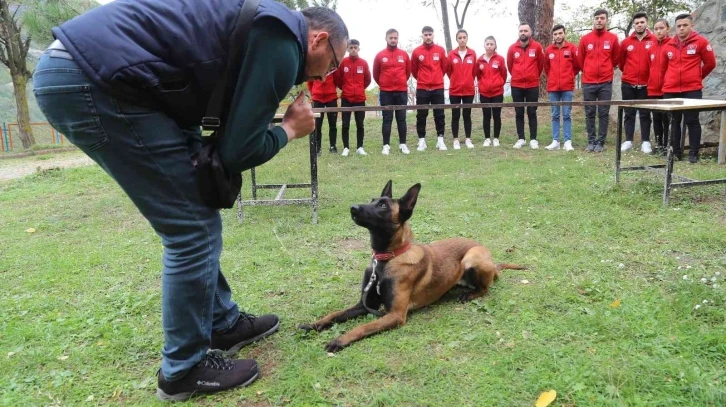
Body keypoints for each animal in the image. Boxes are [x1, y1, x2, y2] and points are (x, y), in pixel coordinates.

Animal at [298, 180, 528, 352]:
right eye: (372, 200)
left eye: (382, 206)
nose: (353, 207)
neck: (387, 259)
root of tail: (491, 260)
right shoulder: (364, 305)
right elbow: (335, 314)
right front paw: (313, 325)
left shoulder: (395, 315)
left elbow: (363, 327)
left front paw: (339, 340)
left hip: (472, 259)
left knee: (485, 289)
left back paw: (468, 294)